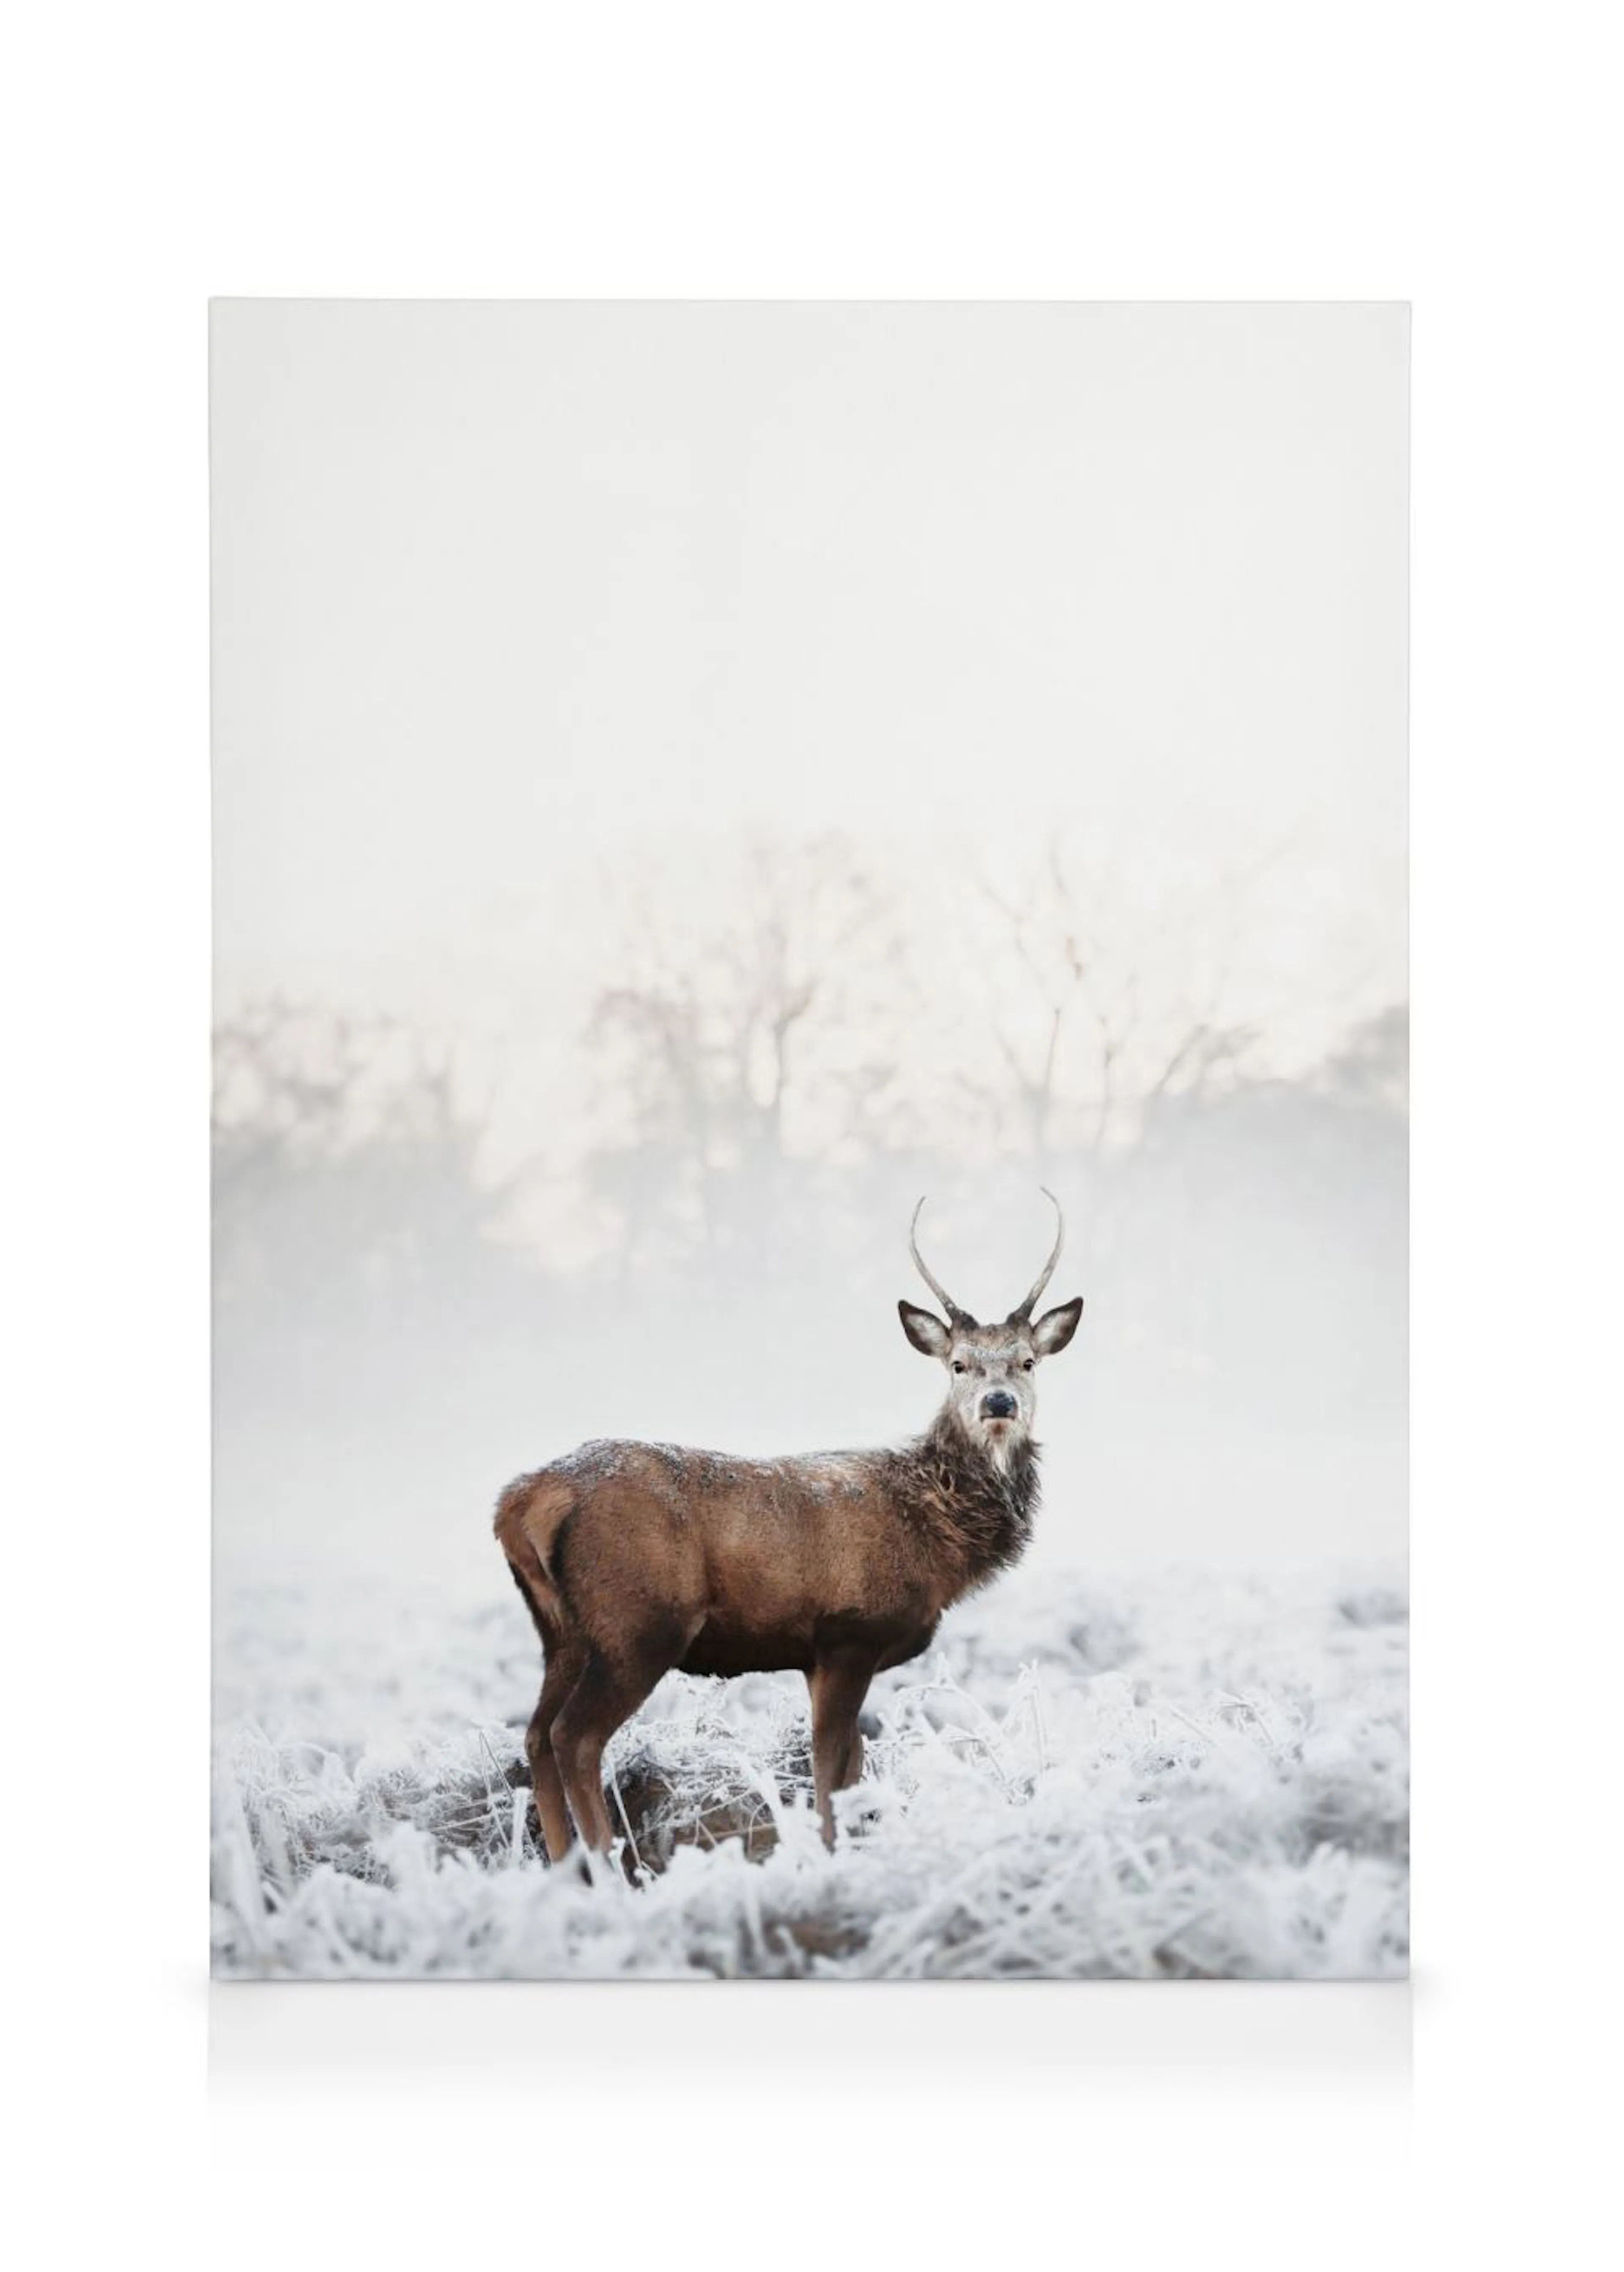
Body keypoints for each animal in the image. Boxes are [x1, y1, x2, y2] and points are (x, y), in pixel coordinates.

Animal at [494, 1190, 1084, 1861]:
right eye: (959, 1365)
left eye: (1027, 1362)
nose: (999, 1403)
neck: (939, 1543)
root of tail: (520, 1501)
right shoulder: (849, 1632)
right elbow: (829, 1768)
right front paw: (829, 1855)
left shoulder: (818, 1655)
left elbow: (851, 1765)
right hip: (638, 1620)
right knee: (574, 1736)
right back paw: (609, 1865)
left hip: (562, 1630)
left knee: (536, 1734)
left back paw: (567, 1868)